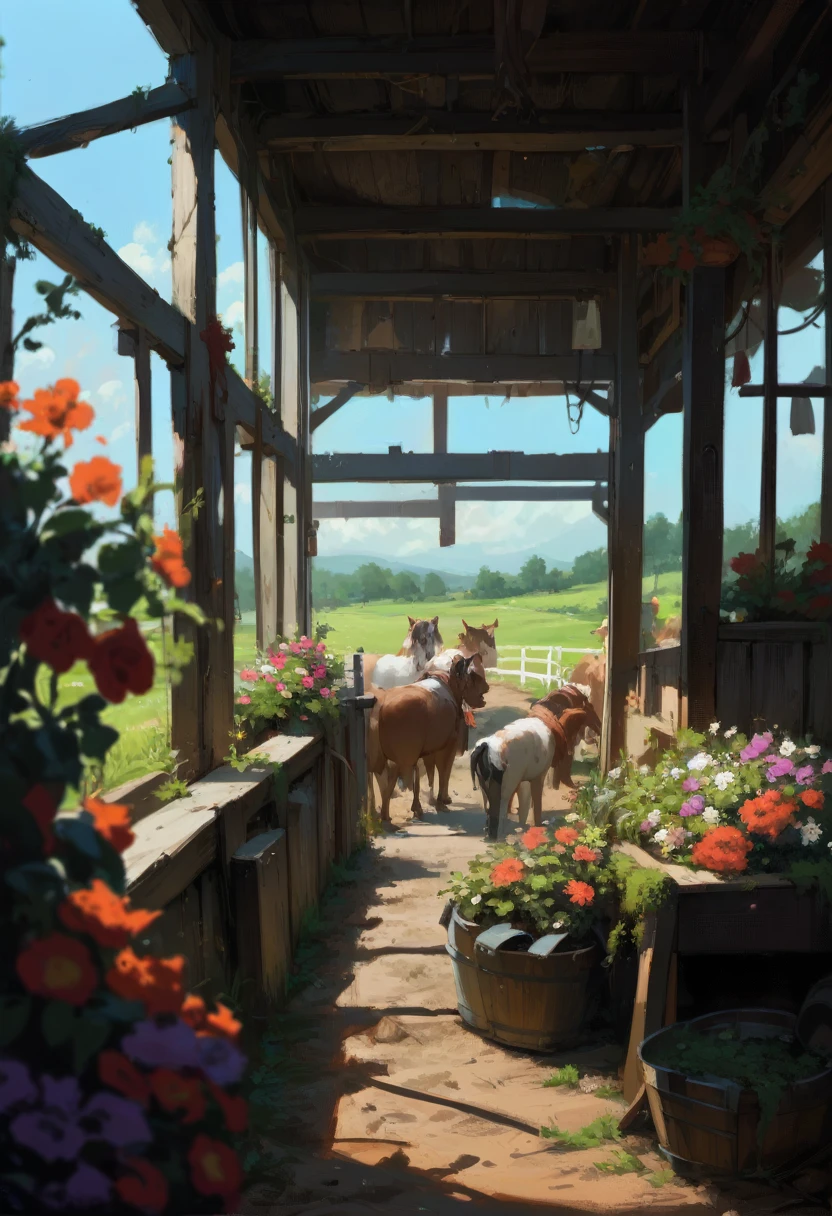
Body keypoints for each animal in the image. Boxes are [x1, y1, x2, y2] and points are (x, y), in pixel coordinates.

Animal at [369, 656, 486, 826]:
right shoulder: (448, 744)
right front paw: (442, 801)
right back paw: (388, 815)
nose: (486, 686)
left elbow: (426, 773)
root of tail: (380, 705)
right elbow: (444, 771)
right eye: (471, 675)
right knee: (390, 776)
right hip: (400, 755)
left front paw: (422, 804)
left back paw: (378, 812)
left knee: (377, 777)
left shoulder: (427, 748)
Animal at [471, 690, 600, 841]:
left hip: (485, 785)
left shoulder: (525, 780)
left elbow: (525, 803)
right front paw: (536, 825)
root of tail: (486, 746)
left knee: (489, 805)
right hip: (506, 785)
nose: (598, 727)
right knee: (500, 805)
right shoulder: (538, 776)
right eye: (589, 707)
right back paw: (499, 835)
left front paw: (522, 825)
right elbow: (535, 803)